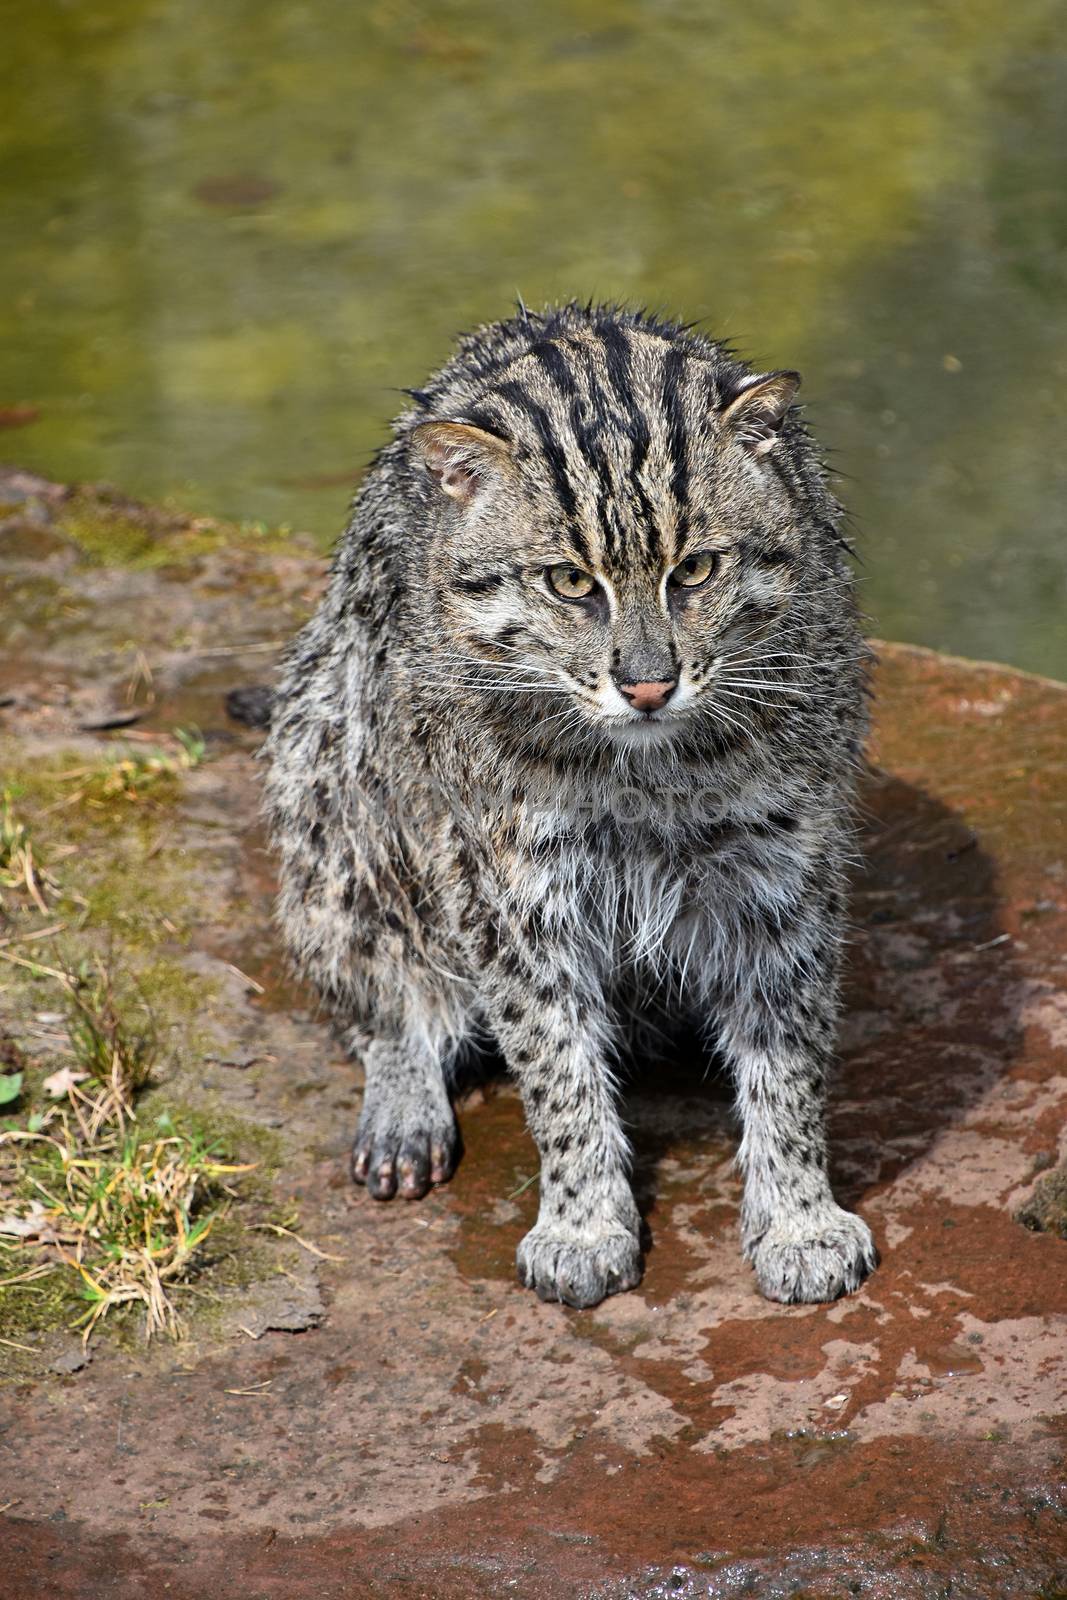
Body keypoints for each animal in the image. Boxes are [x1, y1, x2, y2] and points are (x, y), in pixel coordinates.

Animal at [262, 302, 883, 1312]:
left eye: (695, 570)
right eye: (567, 583)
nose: (647, 683)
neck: (647, 769)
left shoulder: (784, 864)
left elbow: (788, 1060)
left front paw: (797, 1214)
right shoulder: (507, 880)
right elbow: (554, 1066)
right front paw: (583, 1220)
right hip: (324, 770)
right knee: (373, 981)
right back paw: (402, 1091)